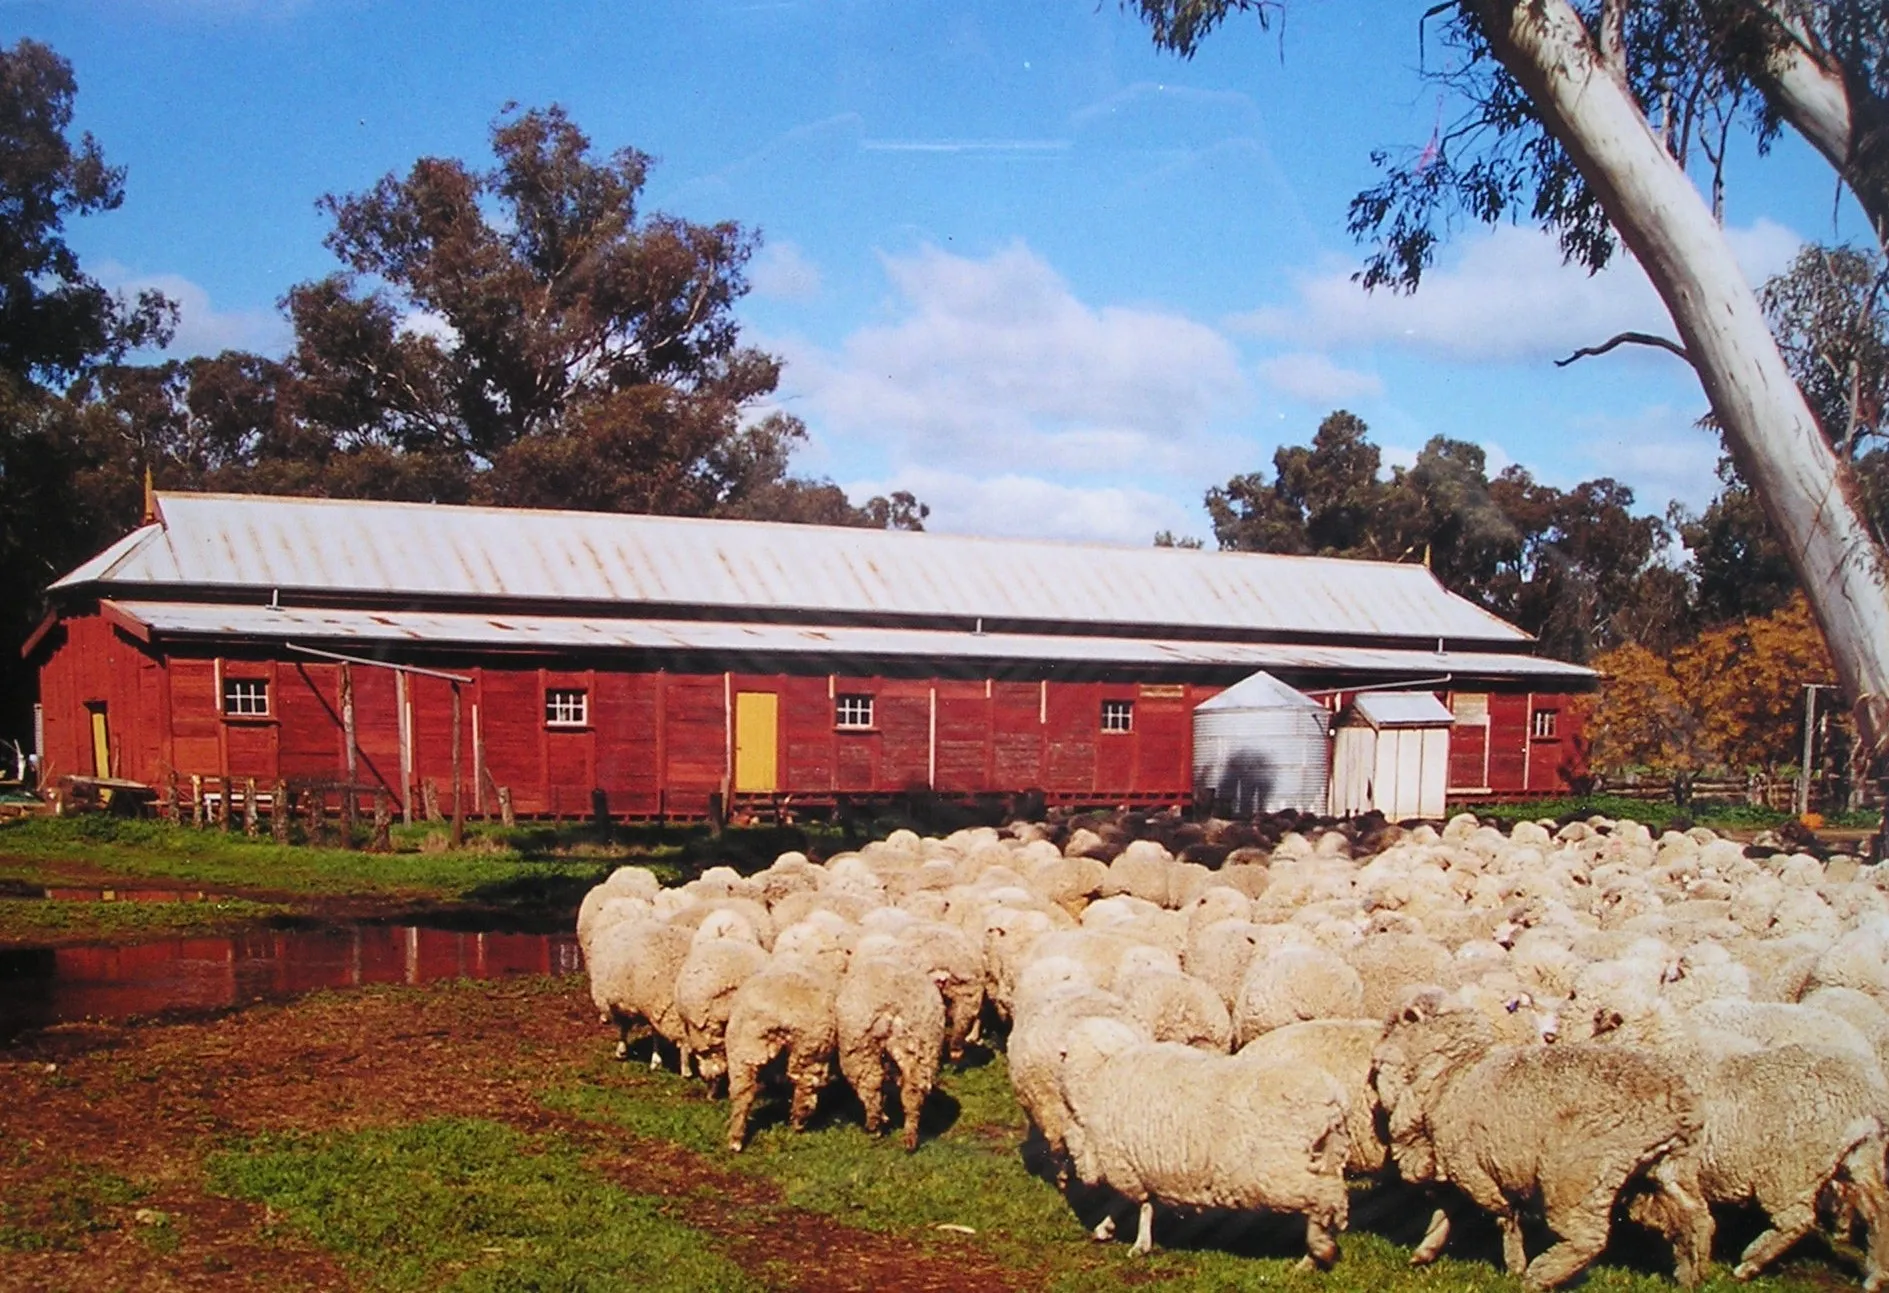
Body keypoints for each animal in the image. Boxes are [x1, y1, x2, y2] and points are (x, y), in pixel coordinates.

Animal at [724, 959, 841, 1153]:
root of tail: (778, 1015)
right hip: (810, 1048)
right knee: (805, 1090)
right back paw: (798, 1124)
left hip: (742, 1049)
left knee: (742, 1093)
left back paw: (735, 1139)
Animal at [835, 952, 948, 1151]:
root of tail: (893, 1006)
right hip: (923, 1045)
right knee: (913, 1090)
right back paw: (909, 1137)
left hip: (859, 1046)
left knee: (870, 1084)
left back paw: (875, 1126)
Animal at [1057, 1016, 1350, 1268]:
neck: (1099, 1074)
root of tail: (1331, 1100)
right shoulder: (1139, 1166)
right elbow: (1141, 1203)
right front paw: (1111, 1230)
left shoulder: (1123, 1163)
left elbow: (1136, 1203)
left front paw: (1137, 1243)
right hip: (1327, 1157)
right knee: (1331, 1197)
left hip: (1280, 1171)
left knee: (1322, 1198)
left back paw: (1317, 1252)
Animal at [1371, 988, 1711, 1290]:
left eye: (1392, 1028)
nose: (1373, 1063)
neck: (1455, 1069)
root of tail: (1676, 1101)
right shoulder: (1461, 1167)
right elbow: (1448, 1208)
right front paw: (1425, 1250)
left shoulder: (1470, 1167)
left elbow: (1503, 1215)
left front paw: (1515, 1265)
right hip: (1672, 1164)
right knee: (1697, 1216)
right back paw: (1693, 1275)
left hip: (1576, 1171)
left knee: (1587, 1236)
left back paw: (1541, 1276)